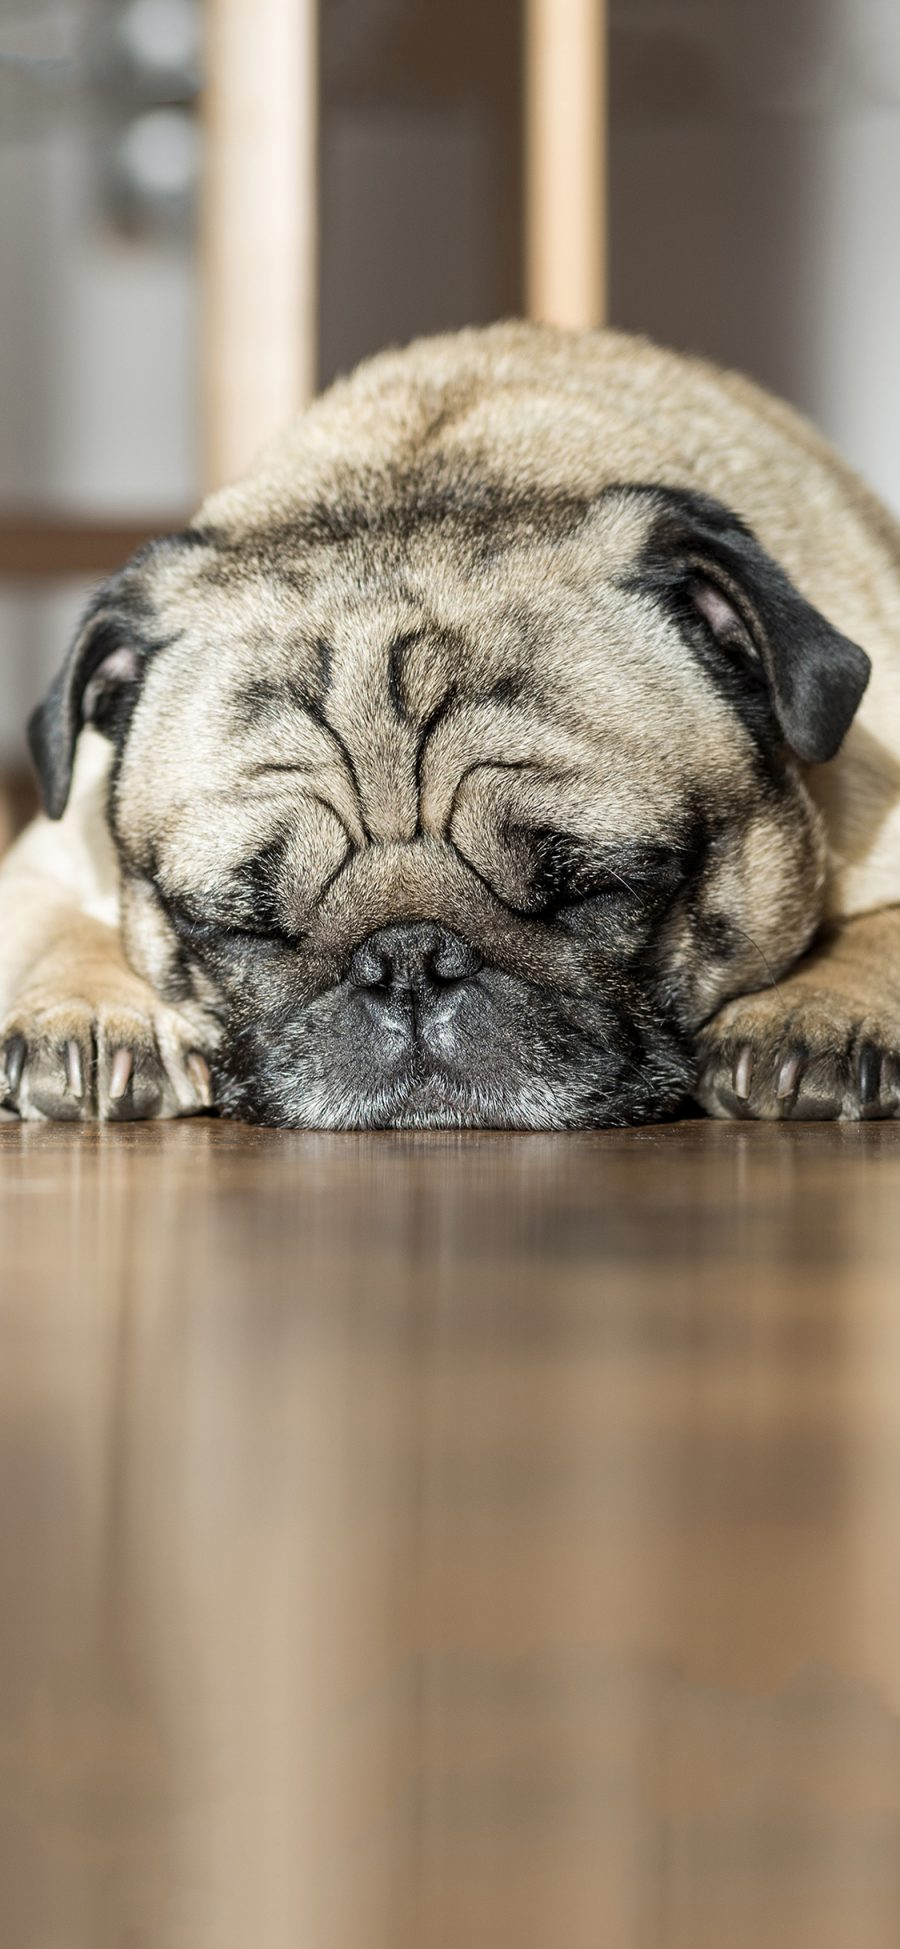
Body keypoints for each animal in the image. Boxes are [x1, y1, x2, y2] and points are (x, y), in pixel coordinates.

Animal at [1, 323, 900, 1130]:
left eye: (601, 889)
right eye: (235, 926)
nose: (408, 961)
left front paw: (814, 1010)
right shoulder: (46, 857)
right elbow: (59, 927)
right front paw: (91, 1010)